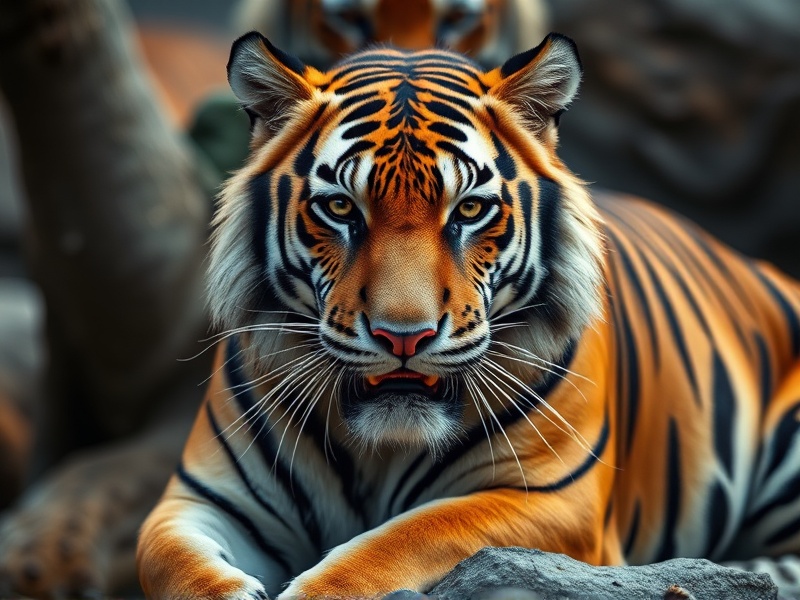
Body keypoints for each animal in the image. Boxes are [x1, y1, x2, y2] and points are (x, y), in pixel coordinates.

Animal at [136, 31, 800, 599]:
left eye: (471, 209)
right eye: (341, 208)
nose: (404, 337)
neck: (378, 451)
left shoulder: (555, 499)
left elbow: (410, 535)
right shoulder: (198, 501)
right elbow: (168, 561)